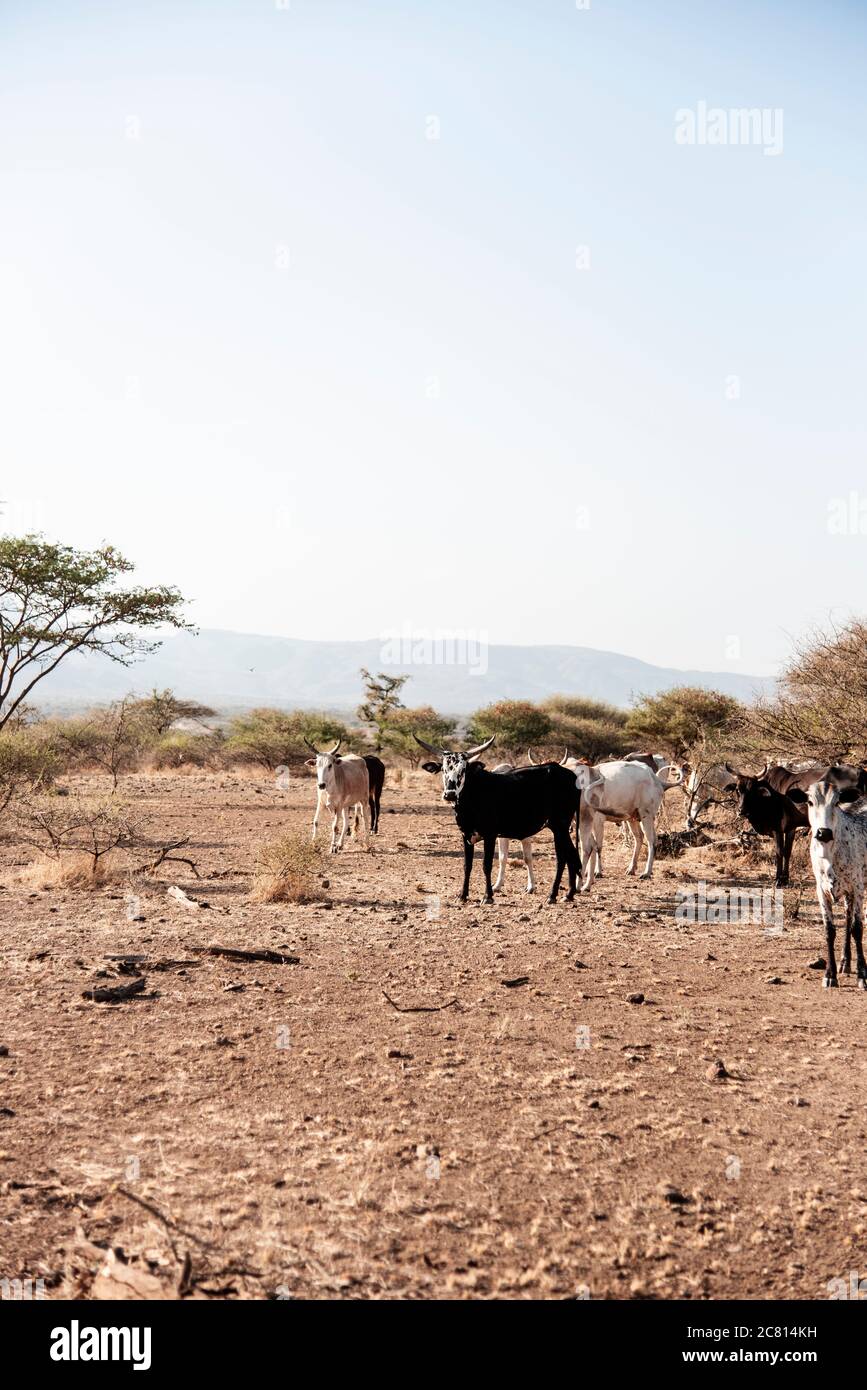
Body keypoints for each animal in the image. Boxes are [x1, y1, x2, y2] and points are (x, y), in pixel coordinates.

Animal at [414, 733, 583, 906]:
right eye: (444, 769)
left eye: (463, 769)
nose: (450, 794)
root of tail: (570, 775)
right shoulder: (466, 836)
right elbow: (467, 865)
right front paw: (463, 895)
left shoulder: (490, 835)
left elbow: (486, 865)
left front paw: (487, 896)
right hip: (561, 828)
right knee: (571, 854)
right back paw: (569, 894)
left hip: (560, 827)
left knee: (562, 858)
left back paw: (552, 895)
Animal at [575, 761, 683, 889]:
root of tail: (655, 779)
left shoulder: (598, 821)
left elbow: (598, 846)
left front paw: (598, 871)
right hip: (633, 819)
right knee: (639, 837)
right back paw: (632, 868)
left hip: (646, 816)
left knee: (651, 841)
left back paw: (646, 872)